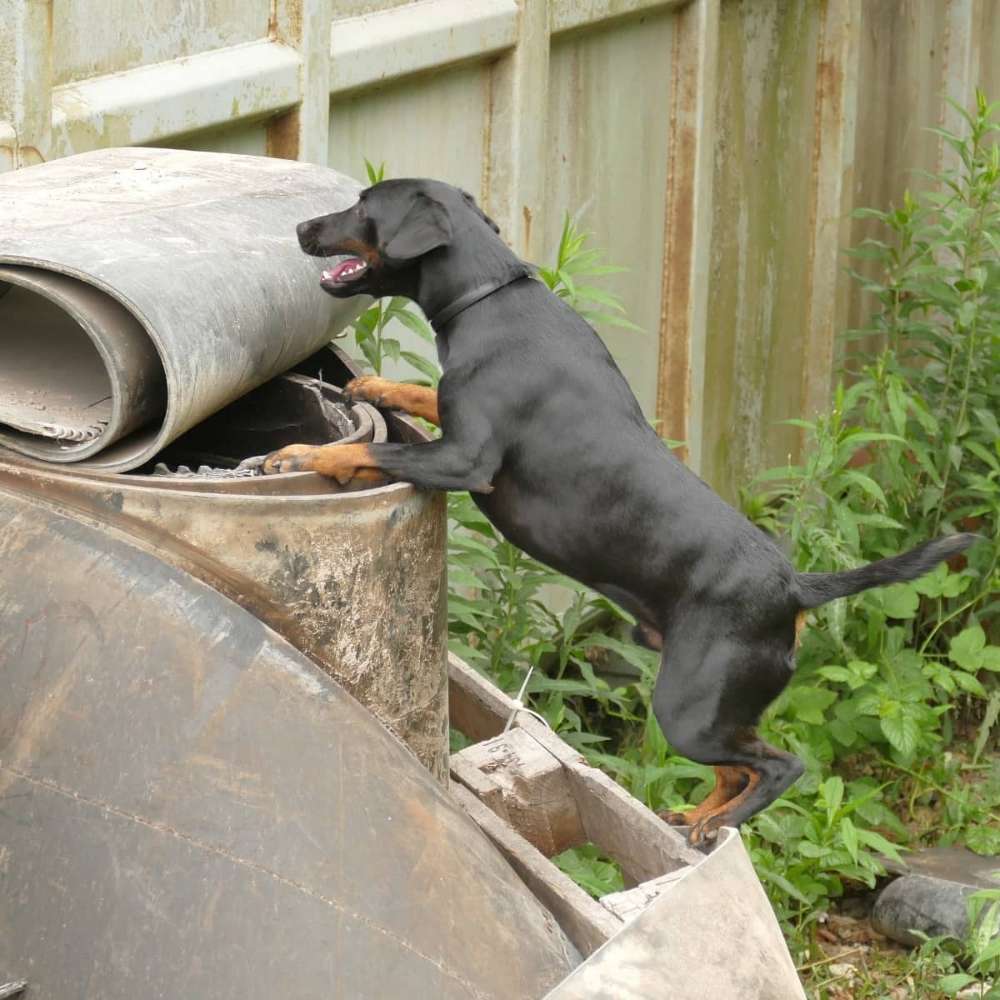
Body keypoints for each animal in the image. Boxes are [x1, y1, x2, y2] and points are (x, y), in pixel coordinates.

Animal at [264, 180, 976, 844]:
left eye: (363, 208)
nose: (299, 227)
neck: (489, 296)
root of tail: (798, 588)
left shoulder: (466, 461)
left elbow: (372, 450)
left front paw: (297, 454)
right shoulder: (452, 427)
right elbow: (417, 396)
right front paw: (372, 386)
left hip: (688, 709)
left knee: (781, 766)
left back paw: (717, 823)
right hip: (711, 707)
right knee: (736, 768)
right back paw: (695, 817)